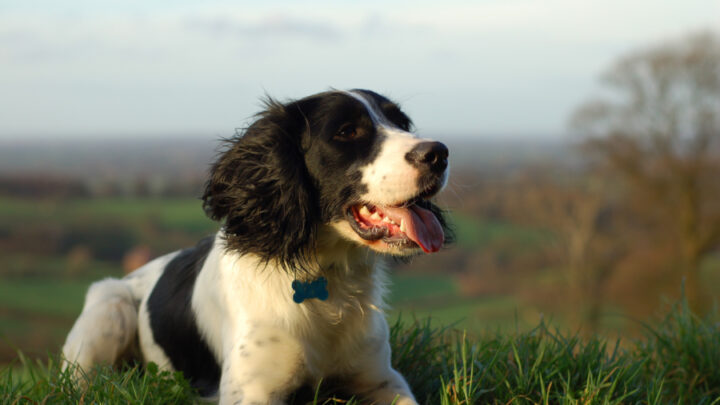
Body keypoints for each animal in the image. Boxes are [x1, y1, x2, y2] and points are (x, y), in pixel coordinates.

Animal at [64, 89, 452, 404]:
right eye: (346, 132)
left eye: (402, 123)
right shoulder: (253, 392)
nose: (439, 153)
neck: (326, 276)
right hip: (109, 307)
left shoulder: (383, 380)